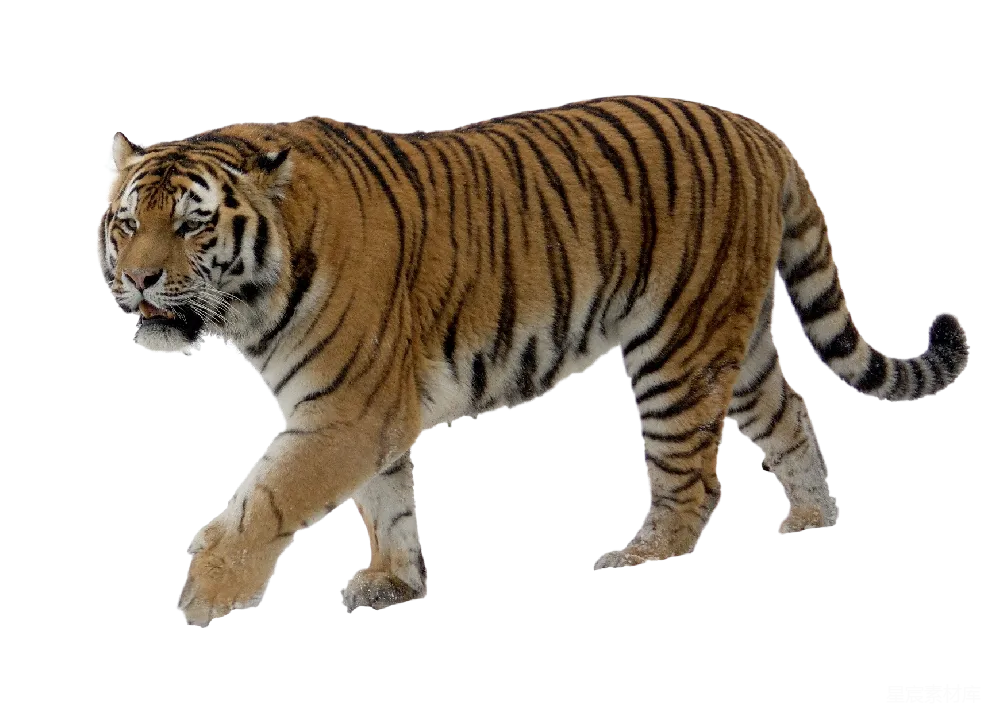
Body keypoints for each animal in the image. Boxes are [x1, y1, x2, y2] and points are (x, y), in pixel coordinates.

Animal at [97, 97, 969, 624]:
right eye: (127, 222)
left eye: (192, 224)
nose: (137, 279)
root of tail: (761, 131)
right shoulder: (371, 410)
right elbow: (388, 502)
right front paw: (395, 582)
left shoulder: (346, 410)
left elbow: (266, 499)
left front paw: (204, 594)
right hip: (737, 338)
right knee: (792, 419)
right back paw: (813, 521)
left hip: (676, 349)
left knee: (692, 478)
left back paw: (640, 560)